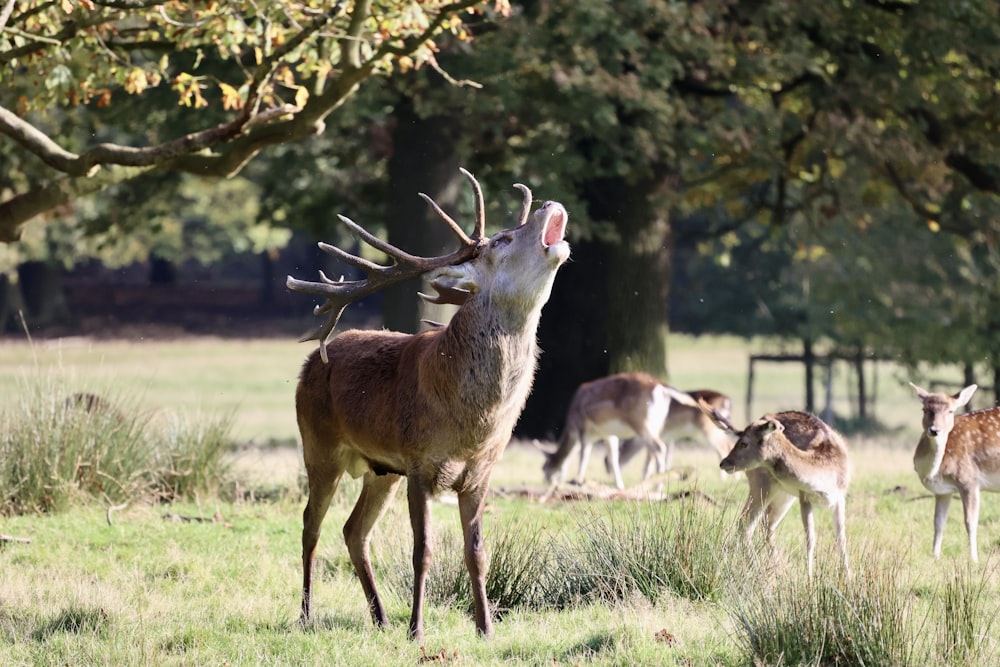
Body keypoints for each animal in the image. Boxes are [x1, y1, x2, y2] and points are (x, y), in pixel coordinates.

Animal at [290, 170, 572, 640]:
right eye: (503, 239)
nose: (550, 203)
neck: (471, 423)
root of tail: (311, 361)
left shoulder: (480, 472)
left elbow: (477, 553)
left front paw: (486, 628)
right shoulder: (420, 464)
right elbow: (422, 551)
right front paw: (417, 630)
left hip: (382, 470)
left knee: (353, 530)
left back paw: (381, 617)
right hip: (319, 447)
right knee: (311, 525)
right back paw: (307, 614)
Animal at [544, 374, 700, 494]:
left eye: (544, 468)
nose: (547, 482)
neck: (571, 427)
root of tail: (662, 387)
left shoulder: (583, 429)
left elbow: (584, 455)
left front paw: (577, 481)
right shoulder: (608, 434)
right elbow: (613, 457)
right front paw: (619, 486)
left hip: (641, 422)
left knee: (659, 447)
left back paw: (658, 488)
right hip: (658, 424)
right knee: (653, 451)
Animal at [704, 402, 852, 580]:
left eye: (744, 443)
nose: (724, 462)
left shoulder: (840, 497)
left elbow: (841, 538)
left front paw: (849, 578)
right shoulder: (804, 497)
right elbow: (810, 539)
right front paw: (810, 580)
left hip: (784, 495)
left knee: (767, 524)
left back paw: (777, 568)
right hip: (761, 485)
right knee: (746, 524)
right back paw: (759, 569)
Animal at [908, 384, 1000, 560]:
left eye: (950, 411)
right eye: (925, 409)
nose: (935, 430)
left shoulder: (969, 480)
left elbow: (970, 522)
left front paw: (974, 559)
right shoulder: (943, 491)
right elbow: (938, 522)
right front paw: (935, 556)